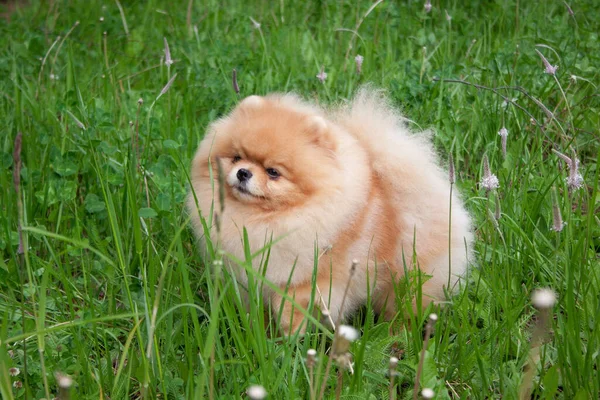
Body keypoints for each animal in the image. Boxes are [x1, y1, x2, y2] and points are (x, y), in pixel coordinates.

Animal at [189, 88, 474, 334]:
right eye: (236, 157)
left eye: (273, 172)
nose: (243, 172)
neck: (265, 218)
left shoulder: (313, 283)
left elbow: (293, 309)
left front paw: (289, 340)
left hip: (411, 276)